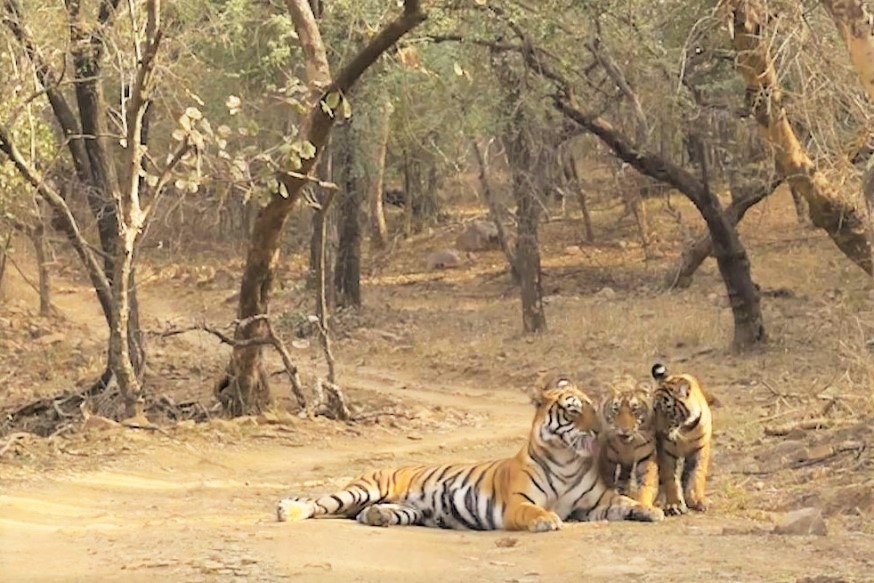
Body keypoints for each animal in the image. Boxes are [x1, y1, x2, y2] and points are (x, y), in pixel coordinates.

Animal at [596, 380, 656, 508]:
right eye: (616, 409)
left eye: (634, 409)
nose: (624, 429)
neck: (627, 446)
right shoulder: (607, 459)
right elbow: (608, 482)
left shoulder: (646, 458)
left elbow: (646, 484)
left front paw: (644, 505)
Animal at [652, 362, 712, 516]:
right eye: (655, 409)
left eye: (668, 410)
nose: (659, 431)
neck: (685, 429)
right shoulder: (666, 452)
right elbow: (670, 478)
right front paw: (674, 505)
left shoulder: (700, 449)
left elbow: (696, 475)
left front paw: (697, 500)